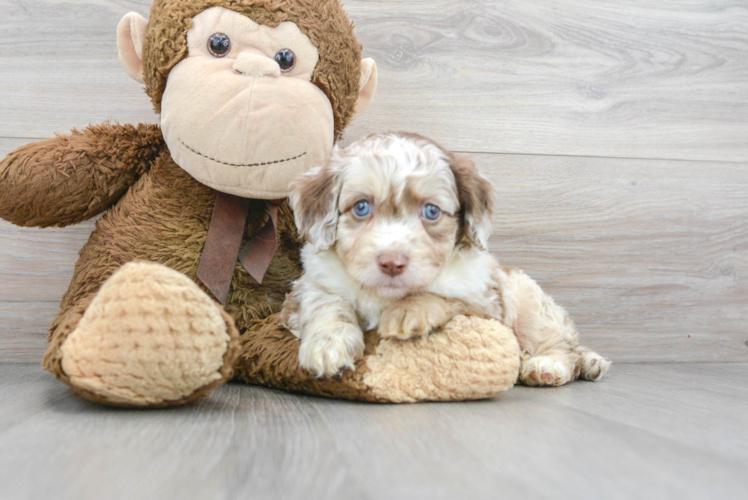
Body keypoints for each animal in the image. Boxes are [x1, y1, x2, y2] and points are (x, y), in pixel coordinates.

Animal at [284, 131, 612, 384]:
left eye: (431, 211)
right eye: (361, 207)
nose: (392, 262)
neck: (386, 296)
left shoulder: (485, 303)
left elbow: (446, 296)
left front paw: (409, 311)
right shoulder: (309, 286)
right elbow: (327, 304)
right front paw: (328, 345)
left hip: (532, 307)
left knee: (563, 347)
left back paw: (548, 366)